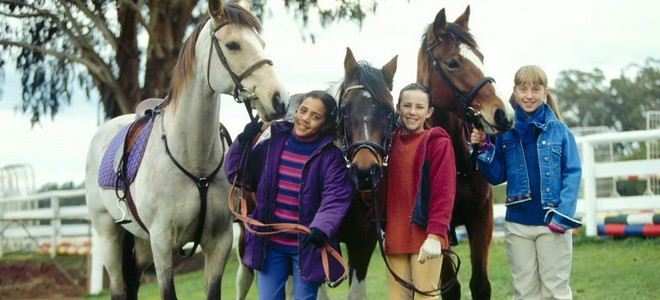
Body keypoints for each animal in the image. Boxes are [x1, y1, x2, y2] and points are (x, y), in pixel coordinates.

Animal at [418, 5, 516, 300]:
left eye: (480, 57)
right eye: (452, 63)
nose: (503, 114)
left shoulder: (482, 220)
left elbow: (480, 284)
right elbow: (451, 288)